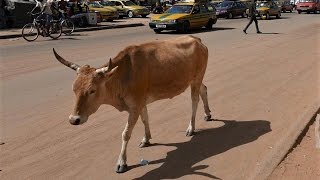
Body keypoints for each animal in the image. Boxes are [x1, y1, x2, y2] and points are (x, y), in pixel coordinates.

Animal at [53, 35, 212, 173]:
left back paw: (191, 128)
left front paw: (121, 162)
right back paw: (208, 114)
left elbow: (126, 133)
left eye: (92, 90)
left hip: (197, 78)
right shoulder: (141, 102)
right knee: (204, 90)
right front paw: (146, 139)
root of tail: (196, 39)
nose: (74, 119)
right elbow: (145, 119)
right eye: (74, 89)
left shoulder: (135, 106)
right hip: (194, 80)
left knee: (194, 100)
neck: (123, 74)